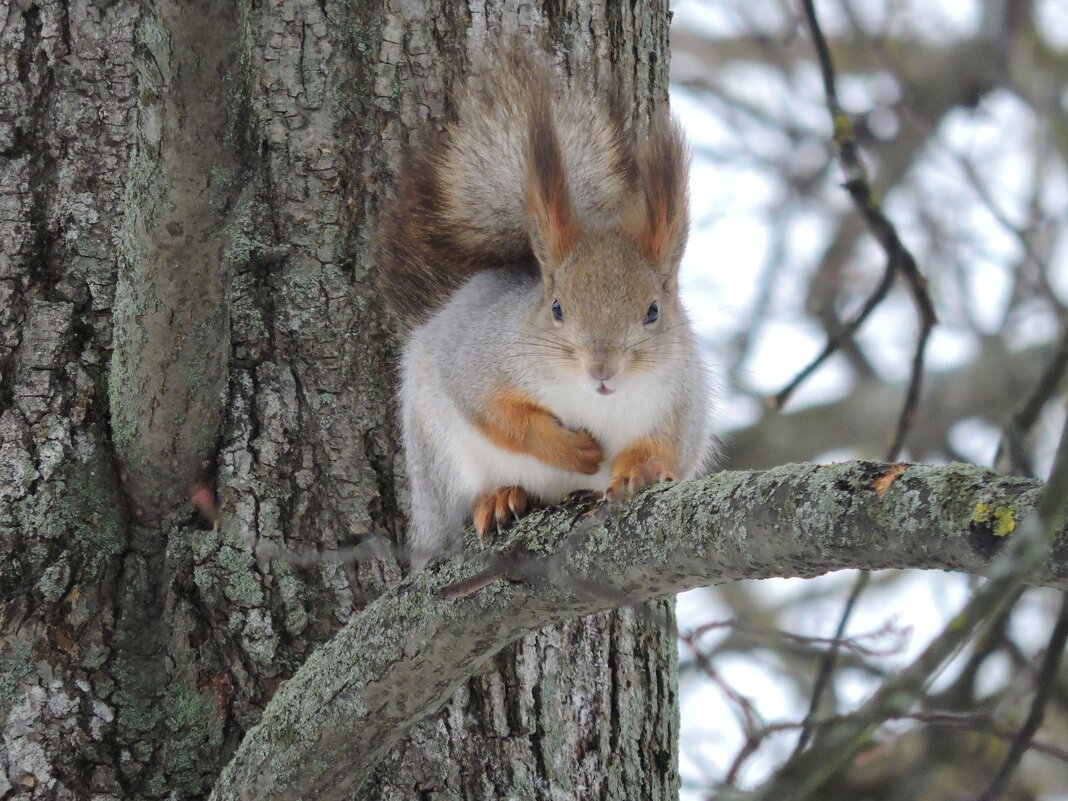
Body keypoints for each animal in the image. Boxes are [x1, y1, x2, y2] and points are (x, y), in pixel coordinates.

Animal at [375, 46, 717, 568]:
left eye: (653, 311)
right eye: (556, 308)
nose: (601, 368)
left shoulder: (683, 397)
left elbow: (669, 446)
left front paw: (637, 471)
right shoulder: (475, 361)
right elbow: (496, 414)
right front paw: (573, 451)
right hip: (438, 461)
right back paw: (499, 499)